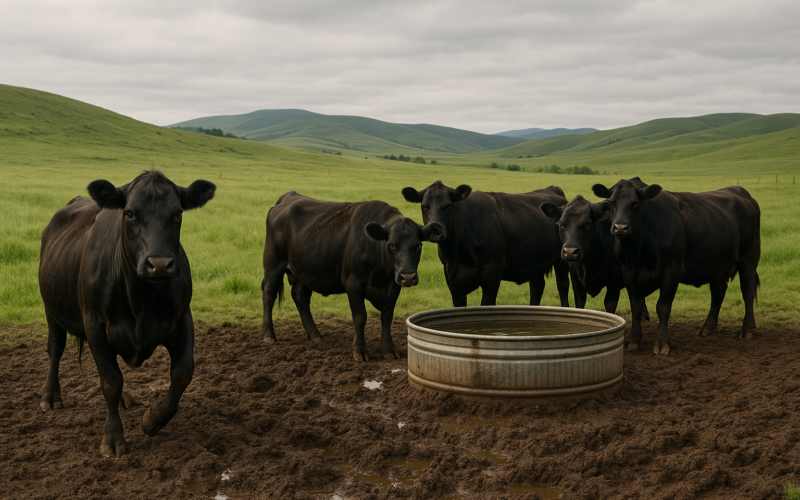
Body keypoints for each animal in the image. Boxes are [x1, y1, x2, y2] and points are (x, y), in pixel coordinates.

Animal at [38, 170, 216, 457]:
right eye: (130, 213)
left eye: (178, 213)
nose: (159, 264)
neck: (141, 300)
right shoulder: (95, 325)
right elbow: (111, 381)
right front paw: (113, 438)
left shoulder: (181, 319)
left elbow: (182, 373)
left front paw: (152, 420)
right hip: (51, 309)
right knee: (56, 348)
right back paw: (51, 396)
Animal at [261, 191, 443, 361]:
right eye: (391, 244)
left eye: (418, 245)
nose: (408, 276)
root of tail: (289, 196)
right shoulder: (353, 283)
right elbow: (360, 317)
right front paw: (360, 351)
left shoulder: (394, 285)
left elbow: (387, 318)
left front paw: (388, 350)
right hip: (273, 265)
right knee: (269, 294)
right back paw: (268, 335)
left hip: (304, 271)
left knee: (300, 297)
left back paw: (315, 335)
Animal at [401, 181, 570, 307]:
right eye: (424, 206)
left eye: (449, 205)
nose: (435, 230)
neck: (457, 253)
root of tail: (553, 189)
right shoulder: (451, 278)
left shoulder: (493, 273)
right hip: (535, 260)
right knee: (536, 286)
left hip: (562, 259)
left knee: (562, 285)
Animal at [592, 177, 761, 355]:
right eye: (611, 202)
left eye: (635, 203)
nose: (620, 227)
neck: (638, 251)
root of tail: (738, 190)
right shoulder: (629, 272)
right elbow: (636, 308)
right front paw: (633, 340)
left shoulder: (672, 271)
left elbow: (663, 307)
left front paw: (662, 343)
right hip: (717, 263)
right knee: (718, 291)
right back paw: (708, 327)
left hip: (749, 258)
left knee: (748, 290)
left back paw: (748, 329)